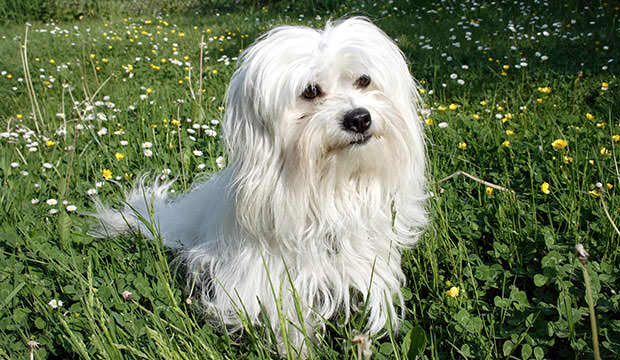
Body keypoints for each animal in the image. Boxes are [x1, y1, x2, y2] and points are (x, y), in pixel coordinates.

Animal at [93, 16, 426, 354]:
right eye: (310, 91)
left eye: (364, 80)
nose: (359, 118)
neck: (328, 185)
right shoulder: (272, 278)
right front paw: (297, 350)